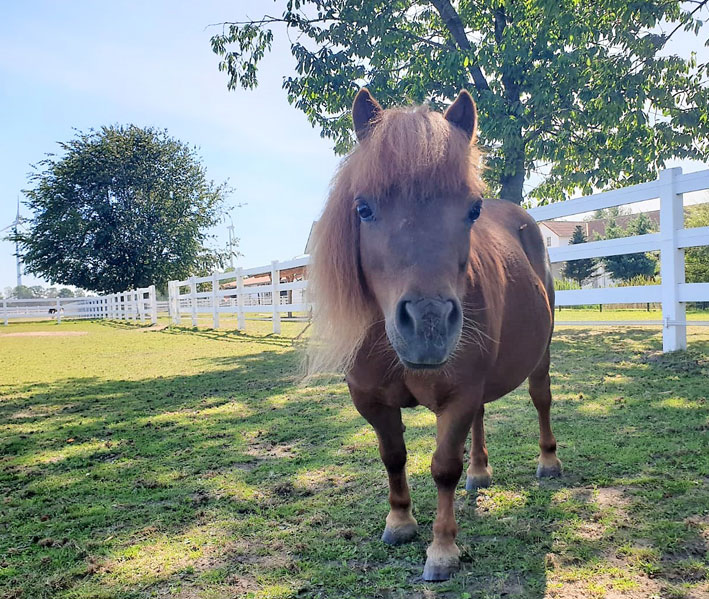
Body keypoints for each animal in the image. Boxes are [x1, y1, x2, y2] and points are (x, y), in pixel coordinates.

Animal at [306, 88, 560, 580]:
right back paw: (480, 473)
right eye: (363, 208)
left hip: (541, 355)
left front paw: (442, 549)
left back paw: (548, 461)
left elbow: (443, 468)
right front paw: (400, 522)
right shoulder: (372, 401)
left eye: (473, 209)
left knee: (541, 399)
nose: (428, 322)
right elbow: (393, 456)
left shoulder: (457, 395)